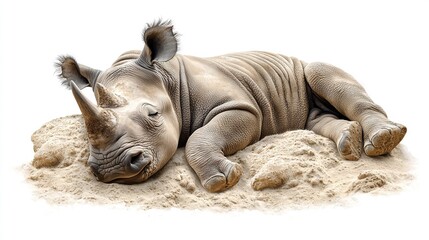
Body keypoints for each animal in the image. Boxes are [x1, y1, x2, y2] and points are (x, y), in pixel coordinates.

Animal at [56, 20, 404, 193]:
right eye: (85, 132)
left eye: (153, 114)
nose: (112, 170)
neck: (165, 77)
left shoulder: (242, 107)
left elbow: (200, 137)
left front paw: (222, 181)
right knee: (317, 119)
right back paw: (349, 146)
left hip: (308, 67)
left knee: (320, 71)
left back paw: (383, 141)